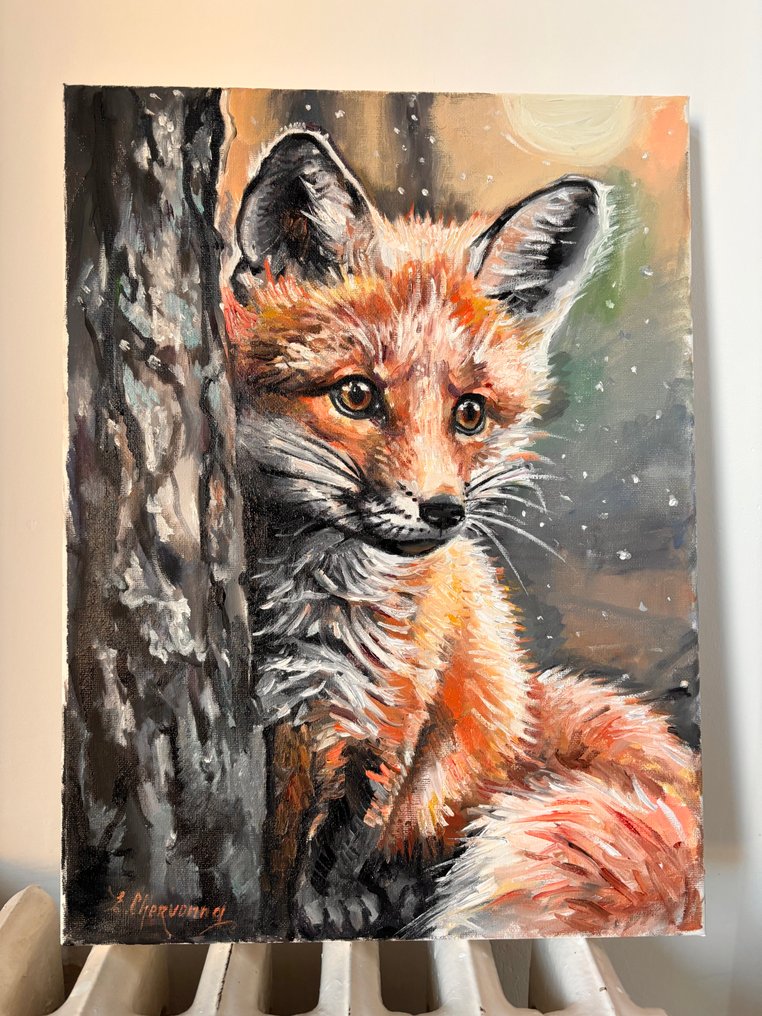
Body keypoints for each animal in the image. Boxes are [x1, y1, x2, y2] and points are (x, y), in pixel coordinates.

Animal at [223, 127, 702, 939]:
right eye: (357, 395)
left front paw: (330, 904)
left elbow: (347, 824)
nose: (444, 511)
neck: (311, 599)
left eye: (470, 413)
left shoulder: (380, 708)